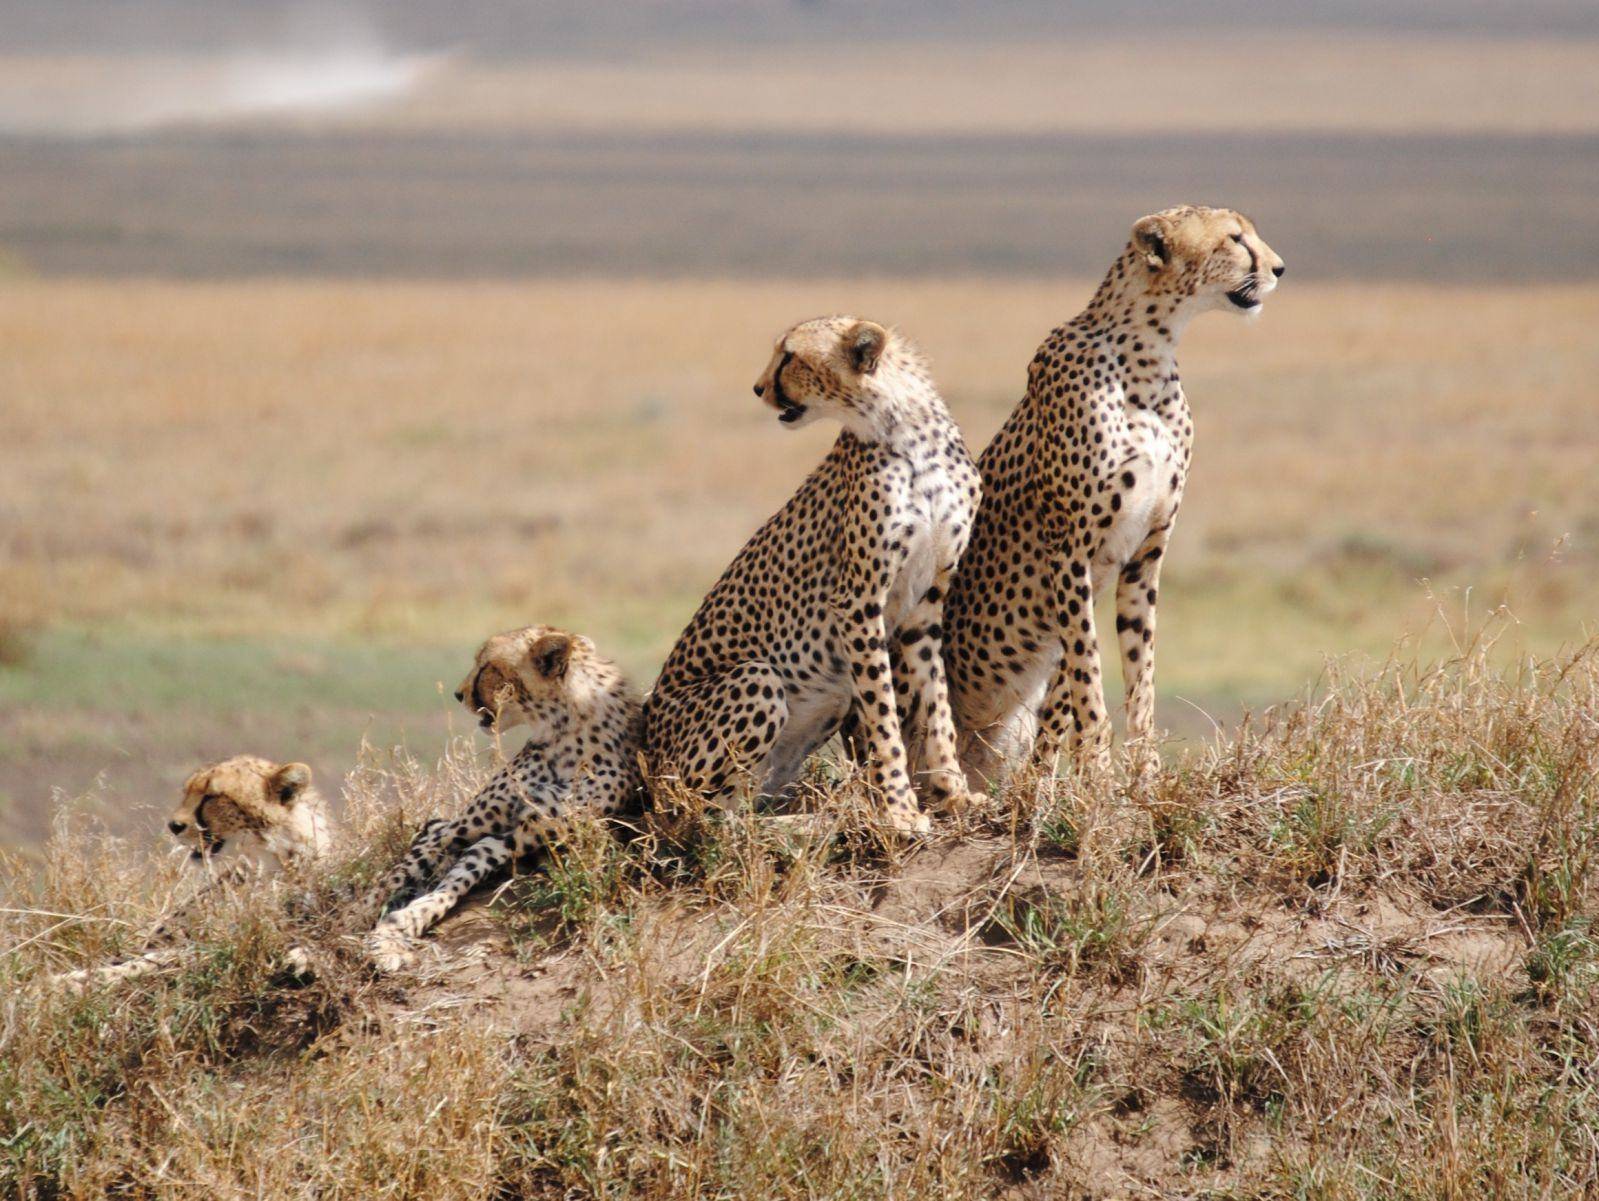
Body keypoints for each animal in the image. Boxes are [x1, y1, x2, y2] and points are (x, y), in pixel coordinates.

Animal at [367, 623, 642, 972]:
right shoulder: (459, 828)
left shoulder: (516, 836)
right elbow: (389, 881)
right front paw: (354, 924)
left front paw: (402, 924)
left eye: (486, 666)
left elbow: (457, 880)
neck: (563, 729)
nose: (458, 694)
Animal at [642, 315, 978, 831]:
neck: (908, 432)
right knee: (700, 818)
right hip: (756, 679)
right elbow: (884, 717)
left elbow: (935, 702)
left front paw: (954, 792)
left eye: (790, 357)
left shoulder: (925, 605)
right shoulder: (857, 601)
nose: (758, 388)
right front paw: (900, 810)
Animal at [940, 204, 1279, 790]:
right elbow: (1088, 674)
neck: (1148, 353)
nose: (1280, 268)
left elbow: (1130, 678)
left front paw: (1136, 775)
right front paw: (1097, 770)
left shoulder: (1144, 556)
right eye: (1236, 239)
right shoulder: (1069, 551)